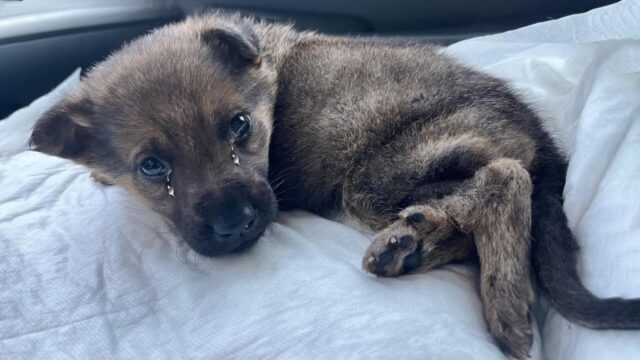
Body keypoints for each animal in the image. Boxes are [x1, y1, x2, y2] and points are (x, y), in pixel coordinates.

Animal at [31, 12, 640, 358]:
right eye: (153, 167)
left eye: (239, 126)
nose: (238, 226)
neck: (267, 83)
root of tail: (543, 140)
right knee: (466, 213)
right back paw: (410, 246)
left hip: (380, 174)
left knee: (502, 181)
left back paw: (504, 303)